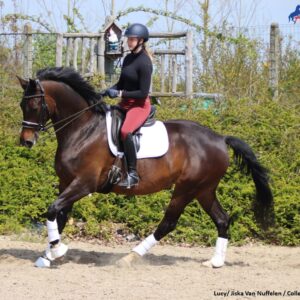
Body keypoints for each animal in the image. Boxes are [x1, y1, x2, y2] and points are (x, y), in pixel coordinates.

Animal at [17, 67, 274, 268]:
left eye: (35, 104)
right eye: (22, 104)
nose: (26, 141)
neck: (83, 129)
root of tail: (220, 138)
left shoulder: (84, 183)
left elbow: (53, 210)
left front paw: (57, 251)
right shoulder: (66, 183)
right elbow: (58, 216)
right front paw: (49, 255)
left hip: (186, 188)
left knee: (168, 223)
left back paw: (130, 258)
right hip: (204, 189)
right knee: (222, 219)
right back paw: (215, 262)